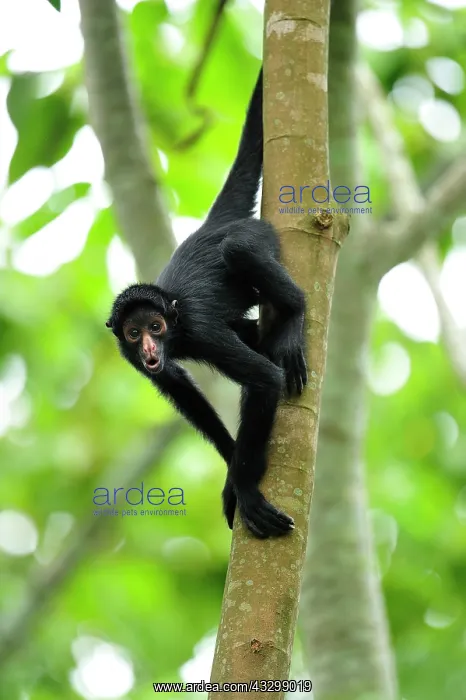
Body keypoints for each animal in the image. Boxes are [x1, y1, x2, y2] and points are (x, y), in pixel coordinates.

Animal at [106, 70, 307, 538]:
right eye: (134, 333)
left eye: (156, 327)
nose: (148, 348)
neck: (176, 322)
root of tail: (214, 224)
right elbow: (180, 388)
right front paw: (234, 471)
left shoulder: (200, 330)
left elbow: (265, 379)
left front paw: (245, 489)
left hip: (256, 236)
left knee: (239, 249)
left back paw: (295, 316)